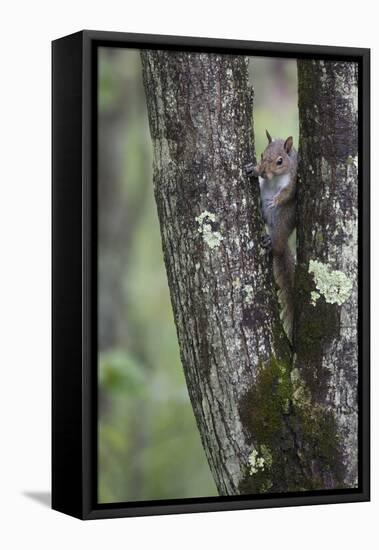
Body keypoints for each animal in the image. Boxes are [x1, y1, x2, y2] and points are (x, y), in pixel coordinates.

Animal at [246, 131, 300, 342]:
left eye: (279, 161)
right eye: (262, 155)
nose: (262, 172)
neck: (275, 178)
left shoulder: (294, 180)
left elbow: (287, 193)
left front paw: (276, 199)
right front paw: (252, 169)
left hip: (281, 224)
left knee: (277, 244)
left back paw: (271, 242)